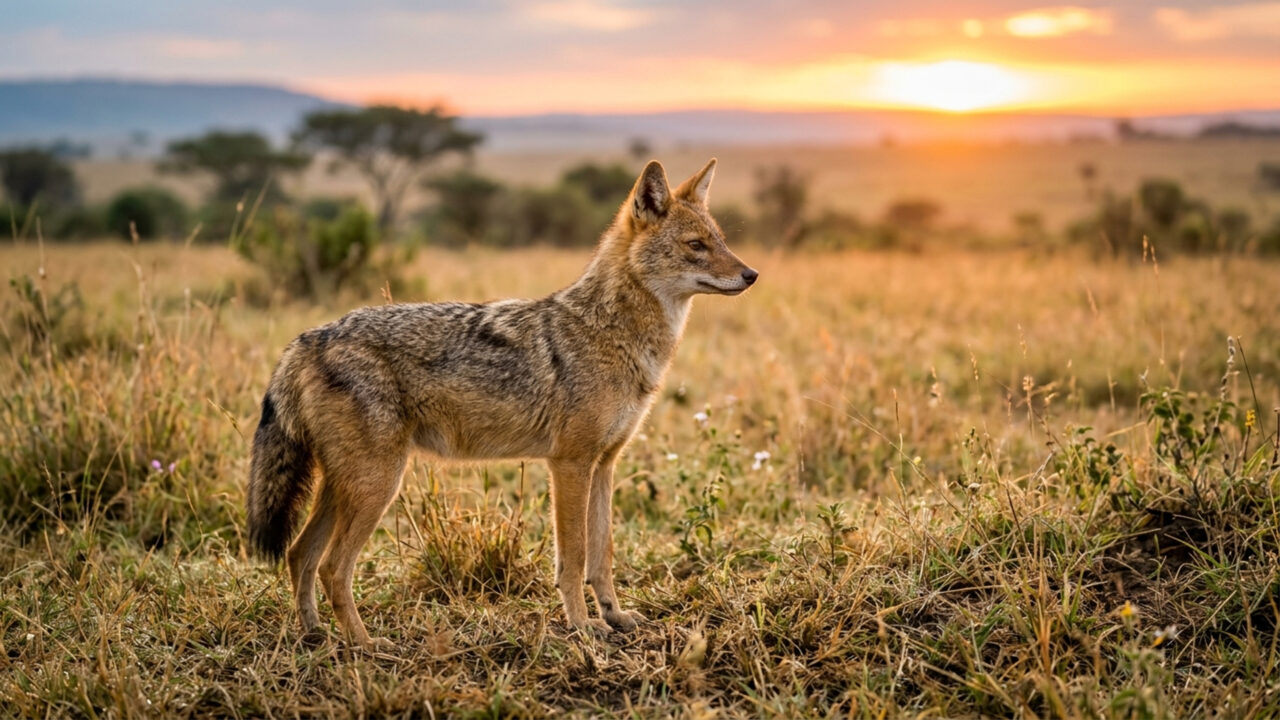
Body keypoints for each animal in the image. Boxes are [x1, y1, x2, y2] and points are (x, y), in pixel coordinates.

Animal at [246, 158, 757, 649]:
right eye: (696, 245)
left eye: (721, 240)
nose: (751, 275)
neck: (616, 334)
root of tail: (307, 338)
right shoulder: (570, 464)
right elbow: (573, 557)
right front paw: (582, 626)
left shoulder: (605, 464)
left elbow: (603, 554)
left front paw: (614, 616)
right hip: (377, 485)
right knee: (332, 567)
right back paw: (366, 646)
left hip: (347, 486)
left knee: (299, 554)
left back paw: (314, 636)